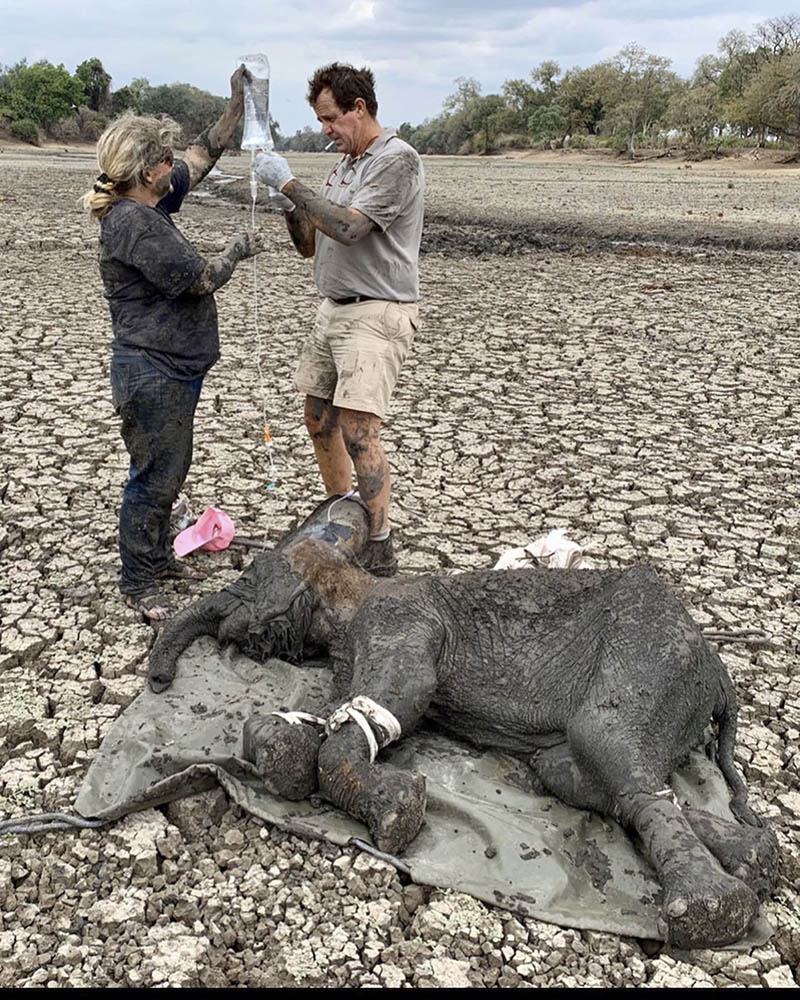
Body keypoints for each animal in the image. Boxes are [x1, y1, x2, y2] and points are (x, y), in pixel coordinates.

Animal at [148, 496, 776, 948]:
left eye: (247, 580)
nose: (157, 684)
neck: (351, 580)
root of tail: (717, 665)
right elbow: (351, 709)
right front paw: (278, 744)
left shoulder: (396, 618)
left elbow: (402, 697)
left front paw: (398, 813)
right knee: (580, 775)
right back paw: (756, 856)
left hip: (650, 649)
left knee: (610, 748)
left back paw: (711, 909)